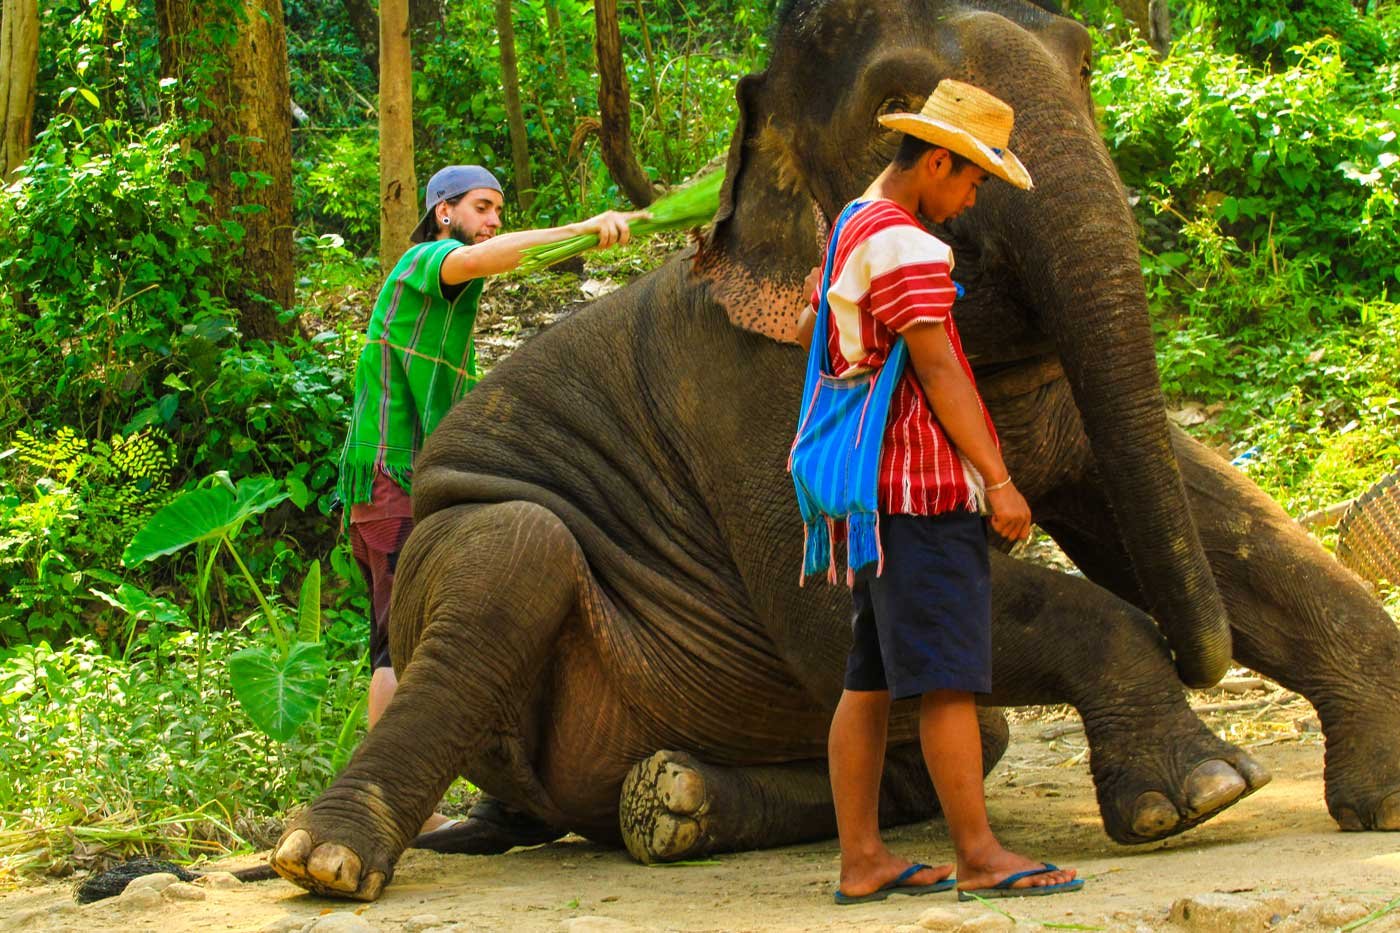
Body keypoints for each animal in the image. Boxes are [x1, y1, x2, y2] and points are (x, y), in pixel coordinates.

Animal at [270, 0, 1400, 902]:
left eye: (1084, 64)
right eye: (897, 102)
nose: (1201, 656)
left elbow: (1222, 519)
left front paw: (1378, 798)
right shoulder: (744, 385)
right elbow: (826, 605)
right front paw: (1199, 794)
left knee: (959, 734)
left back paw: (670, 803)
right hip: (454, 551)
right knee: (517, 546)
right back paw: (327, 862)